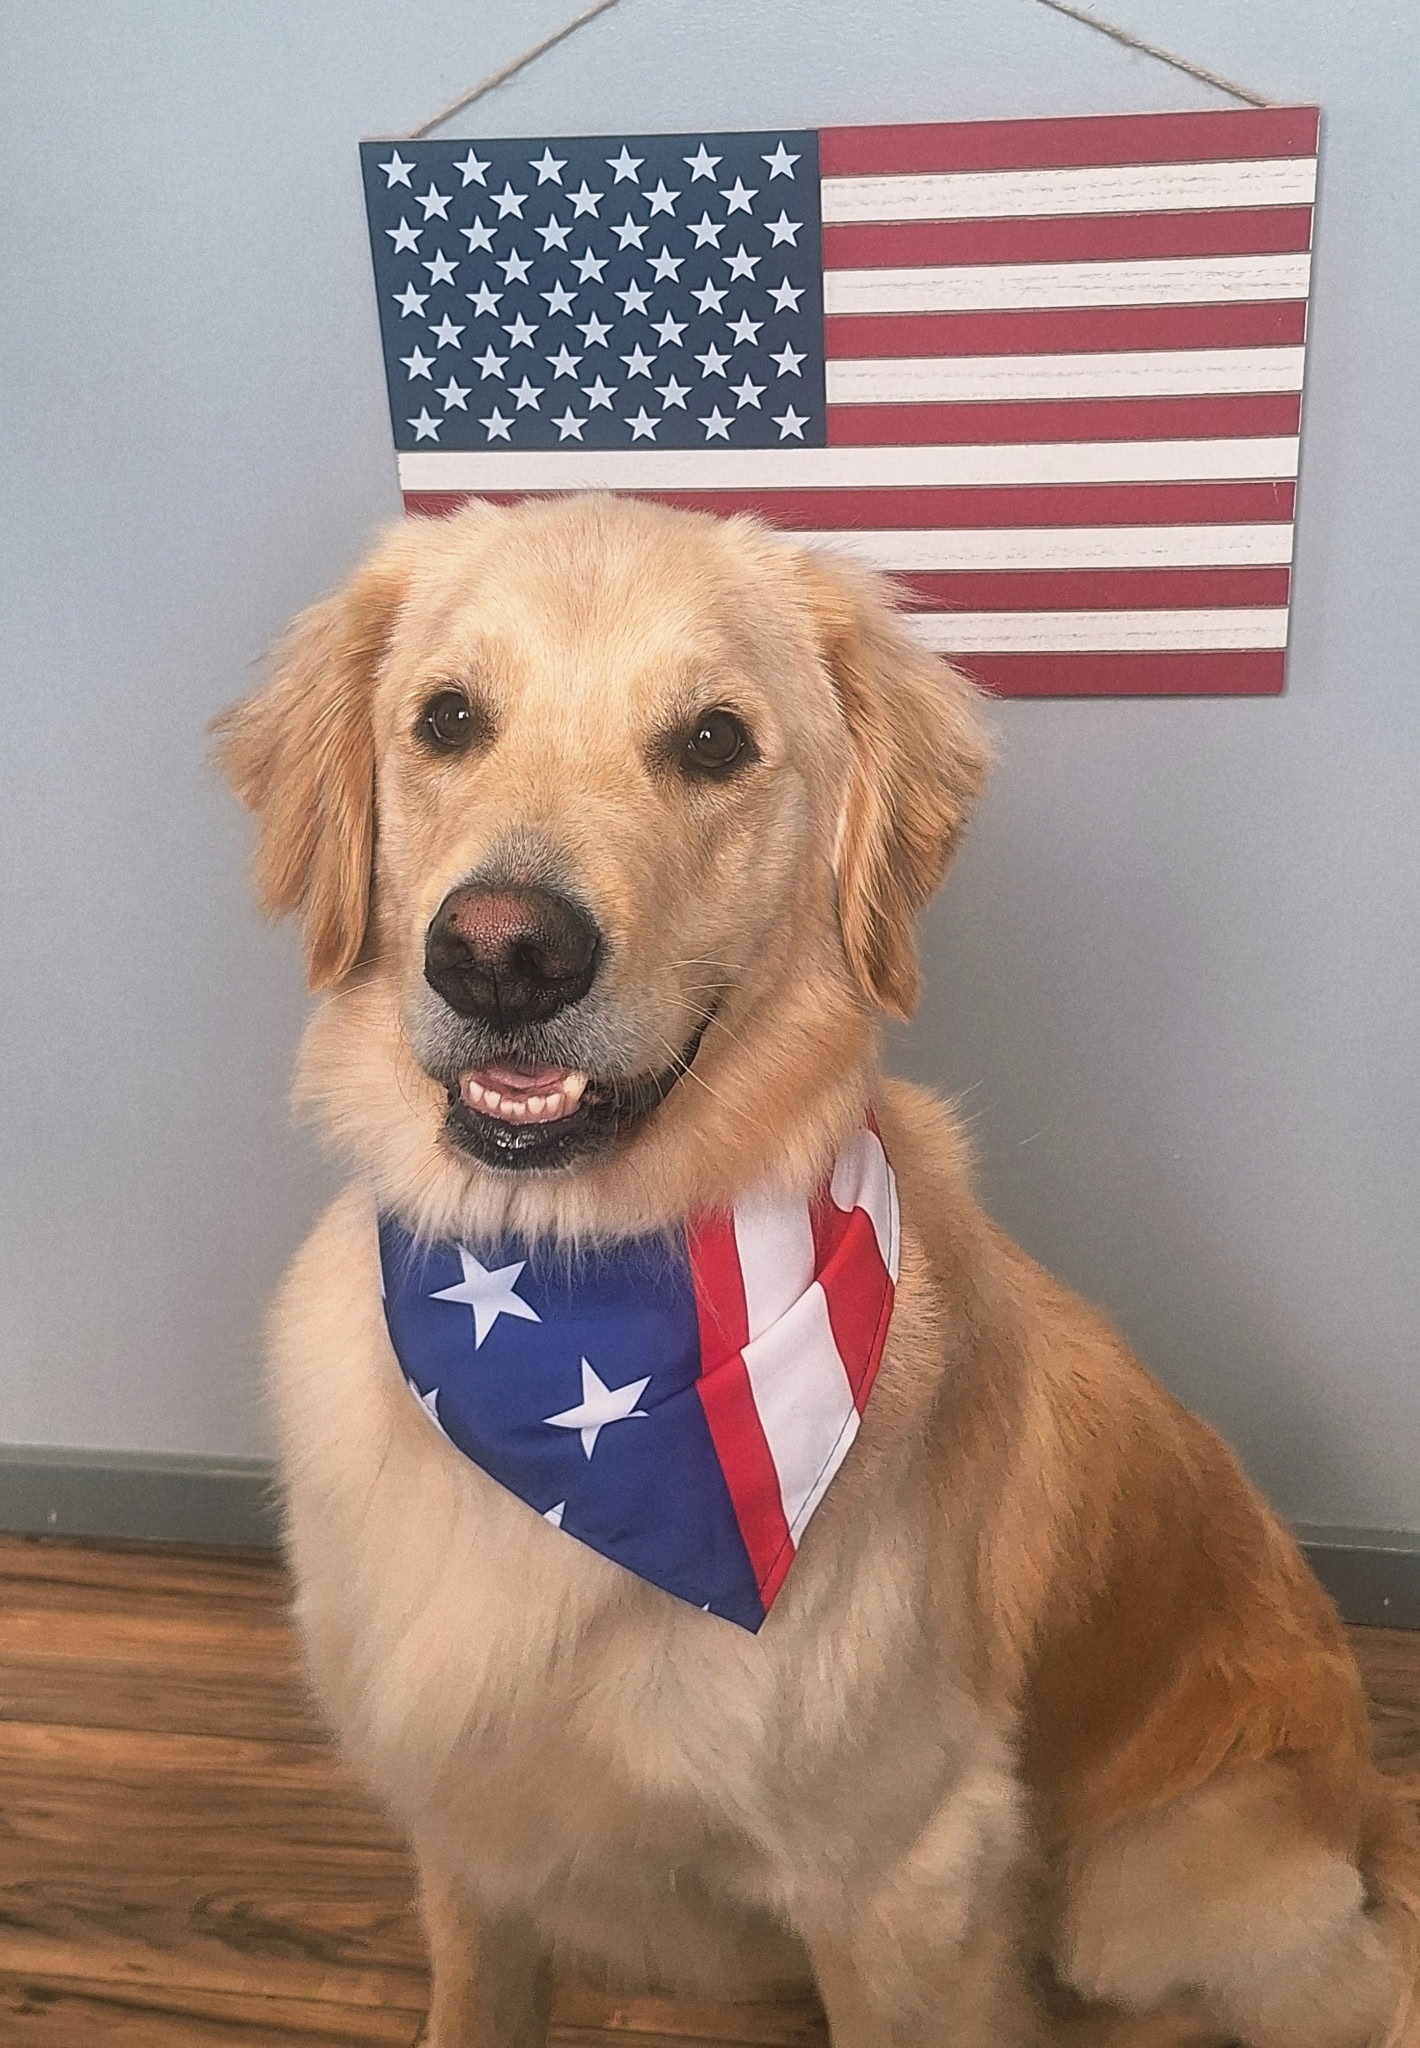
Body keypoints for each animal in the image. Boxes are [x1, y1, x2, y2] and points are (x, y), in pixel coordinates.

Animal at [218, 493, 1419, 2046]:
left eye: (714, 740)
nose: (500, 954)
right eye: (447, 718)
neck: (566, 1305)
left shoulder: (902, 1873)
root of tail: (1368, 1799)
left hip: (1147, 1891)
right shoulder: (470, 1827)